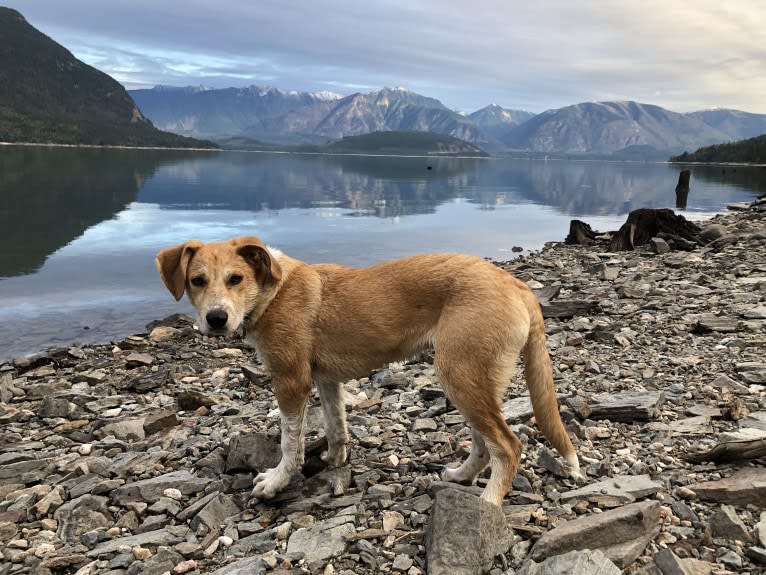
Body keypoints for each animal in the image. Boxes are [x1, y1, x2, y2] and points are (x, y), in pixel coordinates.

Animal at [158, 236, 584, 506]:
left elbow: (290, 442)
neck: (271, 291)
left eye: (236, 279)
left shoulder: (290, 380)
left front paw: (277, 480)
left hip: (460, 374)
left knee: (508, 447)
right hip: (472, 379)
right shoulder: (325, 379)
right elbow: (336, 425)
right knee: (485, 443)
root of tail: (517, 285)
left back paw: (488, 503)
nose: (216, 319)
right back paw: (461, 477)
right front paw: (335, 460)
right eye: (197, 281)